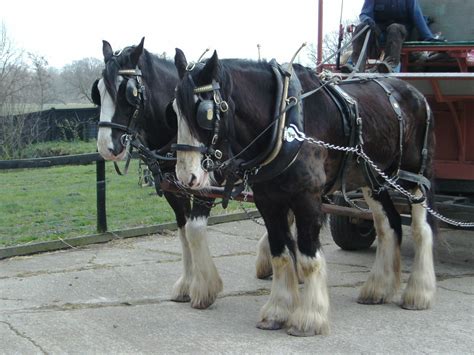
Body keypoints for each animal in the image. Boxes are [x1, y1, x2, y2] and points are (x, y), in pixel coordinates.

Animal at [90, 39, 237, 310]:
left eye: (128, 93)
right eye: (99, 91)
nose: (106, 147)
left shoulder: (209, 183)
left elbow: (195, 229)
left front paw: (204, 289)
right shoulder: (175, 190)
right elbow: (184, 230)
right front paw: (187, 285)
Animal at [170, 49, 436, 336]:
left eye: (205, 113)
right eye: (174, 110)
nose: (186, 176)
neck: (284, 124)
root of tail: (416, 93)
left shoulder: (308, 199)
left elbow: (308, 258)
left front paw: (310, 317)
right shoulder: (268, 200)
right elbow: (280, 253)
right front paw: (277, 311)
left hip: (414, 177)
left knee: (421, 228)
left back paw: (419, 292)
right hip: (373, 180)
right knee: (389, 225)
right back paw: (379, 288)